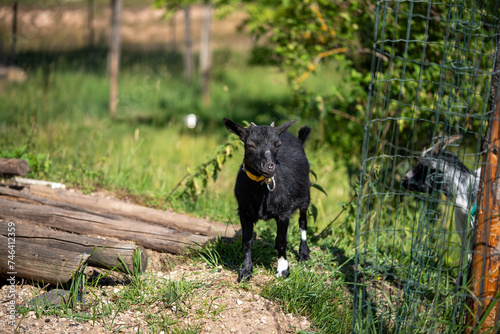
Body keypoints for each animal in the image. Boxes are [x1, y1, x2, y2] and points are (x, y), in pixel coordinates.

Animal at [222, 118, 308, 282]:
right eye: (250, 144)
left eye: (277, 144)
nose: (269, 167)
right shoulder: (244, 212)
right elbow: (247, 241)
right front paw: (246, 270)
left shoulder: (283, 212)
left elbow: (281, 241)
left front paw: (282, 270)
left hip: (306, 197)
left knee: (303, 222)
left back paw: (304, 254)